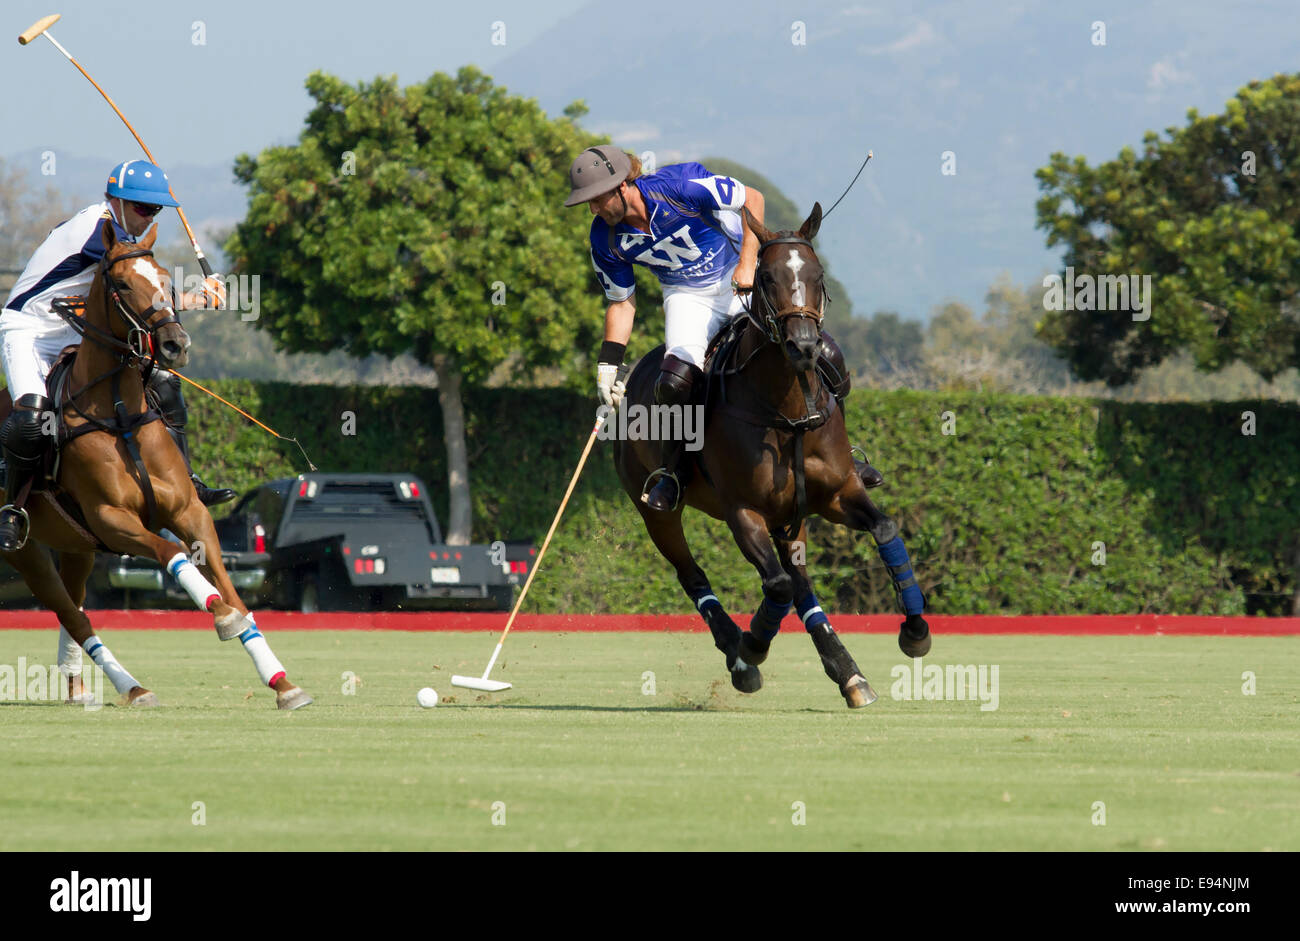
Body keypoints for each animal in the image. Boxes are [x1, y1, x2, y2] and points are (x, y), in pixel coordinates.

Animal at [0, 222, 309, 707]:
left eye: (167, 281)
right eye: (124, 284)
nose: (174, 345)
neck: (119, 411)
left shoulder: (187, 510)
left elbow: (232, 589)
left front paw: (282, 683)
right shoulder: (112, 520)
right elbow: (174, 555)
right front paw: (221, 616)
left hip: (76, 546)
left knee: (75, 608)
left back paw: (79, 687)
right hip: (27, 552)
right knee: (73, 614)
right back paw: (131, 686)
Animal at [611, 204, 930, 707]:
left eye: (818, 275)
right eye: (766, 278)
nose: (804, 346)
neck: (789, 411)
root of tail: (631, 377)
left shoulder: (836, 495)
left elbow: (884, 529)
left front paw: (915, 632)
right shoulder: (744, 511)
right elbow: (775, 583)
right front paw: (752, 647)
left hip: (791, 516)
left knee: (800, 585)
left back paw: (849, 674)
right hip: (656, 511)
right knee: (694, 573)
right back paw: (740, 656)